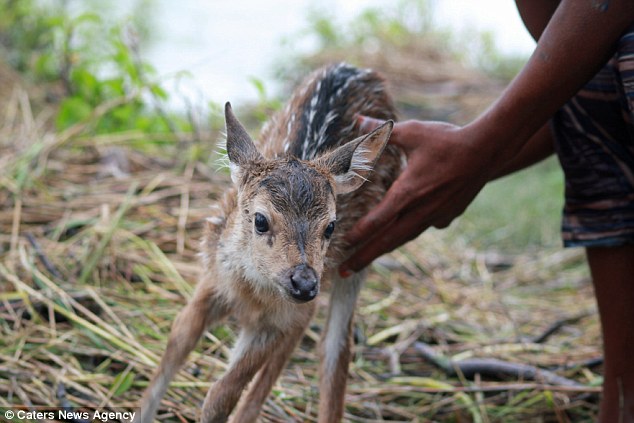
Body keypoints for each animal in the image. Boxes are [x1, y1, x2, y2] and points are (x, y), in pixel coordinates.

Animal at [135, 63, 400, 423]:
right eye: (260, 220)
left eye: (331, 226)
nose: (304, 282)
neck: (252, 289)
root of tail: (363, 70)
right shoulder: (213, 278)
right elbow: (176, 342)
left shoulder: (277, 318)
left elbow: (220, 395)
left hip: (359, 258)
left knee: (334, 348)